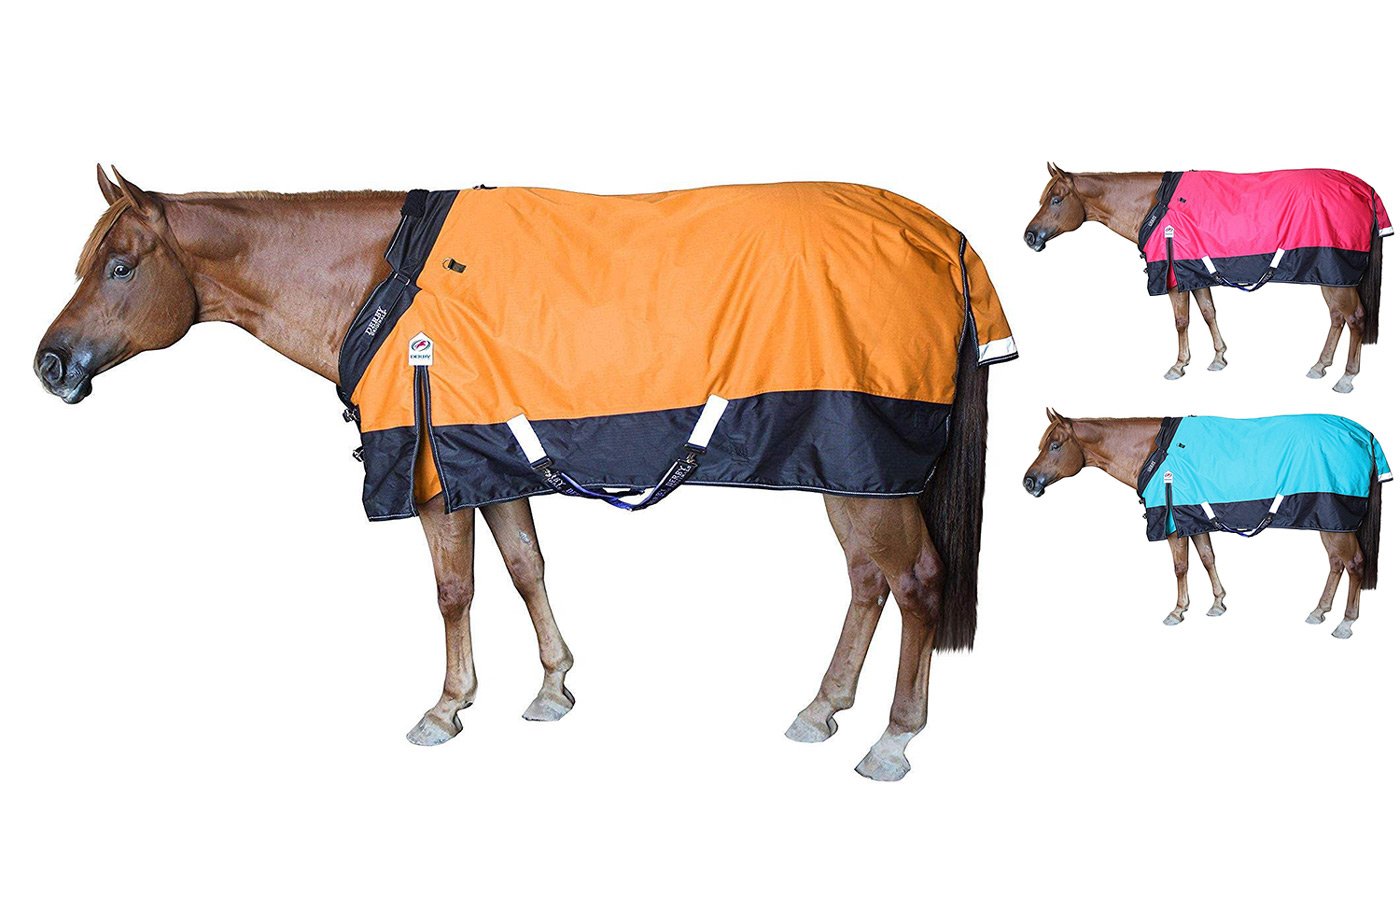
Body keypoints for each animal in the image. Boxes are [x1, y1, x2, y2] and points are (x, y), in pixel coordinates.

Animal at [33, 166, 1002, 780]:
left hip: (864, 466)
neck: (385, 285)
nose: (49, 364)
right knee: (868, 582)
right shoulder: (488, 464)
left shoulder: (432, 473)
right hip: (851, 470)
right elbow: (527, 568)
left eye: (119, 265)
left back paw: (892, 742)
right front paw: (552, 688)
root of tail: (944, 237)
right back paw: (821, 709)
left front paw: (446, 708)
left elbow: (455, 590)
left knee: (915, 581)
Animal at [1021, 410, 1386, 638]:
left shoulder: (1172, 522)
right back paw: (1318, 611)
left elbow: (1181, 567)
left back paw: (1345, 624)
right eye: (1042, 444)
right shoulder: (1193, 519)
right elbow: (1208, 558)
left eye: (1055, 445)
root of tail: (1363, 434)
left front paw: (1177, 611)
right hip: (1330, 522)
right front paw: (1217, 603)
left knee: (1354, 563)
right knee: (1336, 564)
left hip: (1336, 519)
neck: (1155, 452)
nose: (1028, 481)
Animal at [1024, 164, 1387, 393]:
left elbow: (1182, 321)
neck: (1155, 207)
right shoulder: (1194, 274)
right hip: (1331, 276)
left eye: (1056, 199)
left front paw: (1178, 366)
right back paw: (1319, 366)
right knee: (1337, 318)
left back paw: (1346, 378)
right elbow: (1209, 313)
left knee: (1355, 318)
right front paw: (1218, 358)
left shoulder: (1173, 277)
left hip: (1337, 275)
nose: (1029, 236)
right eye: (1043, 199)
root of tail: (1366, 189)